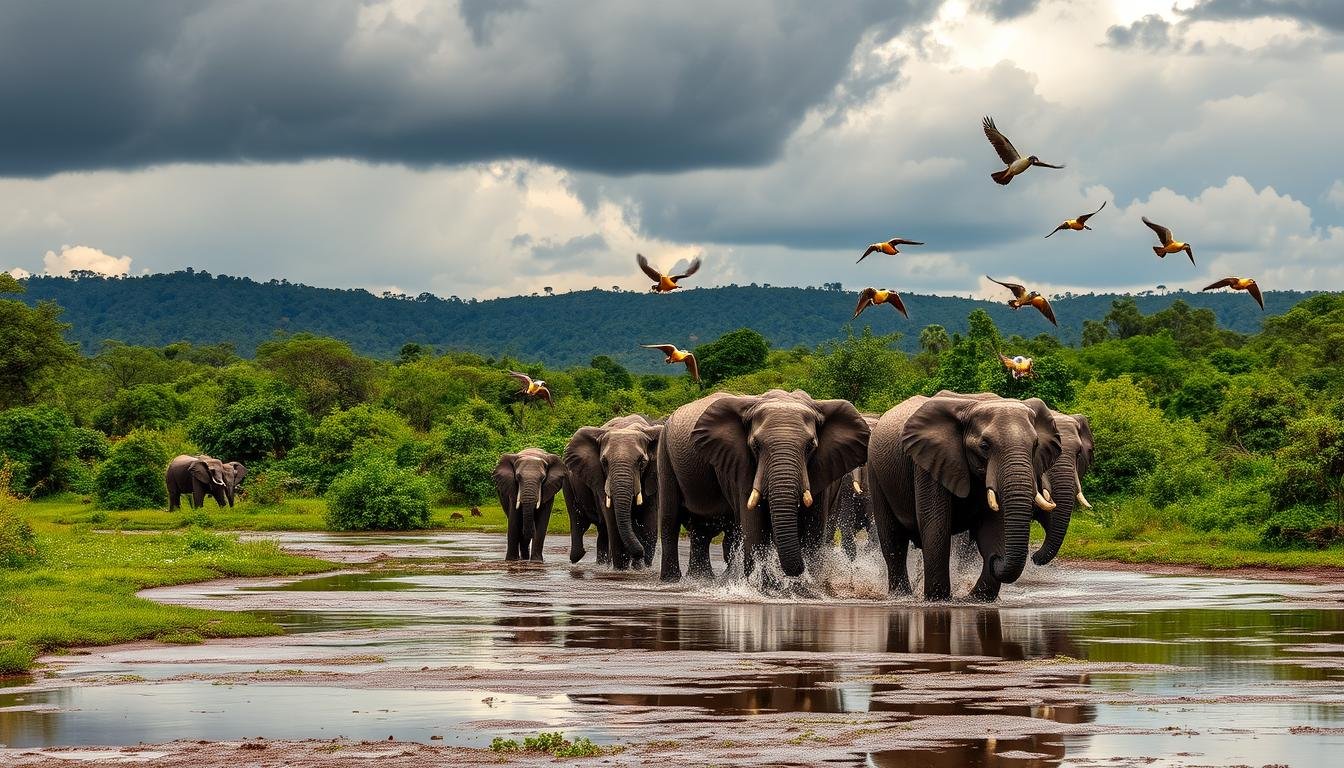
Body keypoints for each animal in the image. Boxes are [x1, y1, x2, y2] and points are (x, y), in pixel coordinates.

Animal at [561, 414, 661, 570]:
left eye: (642, 462)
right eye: (604, 462)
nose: (639, 553)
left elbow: (649, 523)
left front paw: (640, 569)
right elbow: (613, 521)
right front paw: (621, 569)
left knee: (602, 531)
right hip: (568, 485)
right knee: (579, 523)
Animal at [655, 390, 865, 583]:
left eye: (810, 447)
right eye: (755, 446)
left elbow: (813, 530)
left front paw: (806, 588)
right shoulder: (740, 463)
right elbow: (754, 527)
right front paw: (763, 588)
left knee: (703, 528)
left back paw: (702, 579)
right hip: (664, 453)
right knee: (670, 519)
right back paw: (672, 579)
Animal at [865, 392, 1064, 605]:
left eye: (1035, 445)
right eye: (984, 446)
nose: (996, 558)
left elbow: (993, 529)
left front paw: (978, 598)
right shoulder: (929, 464)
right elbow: (935, 526)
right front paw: (938, 599)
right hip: (876, 473)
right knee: (893, 541)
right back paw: (901, 596)